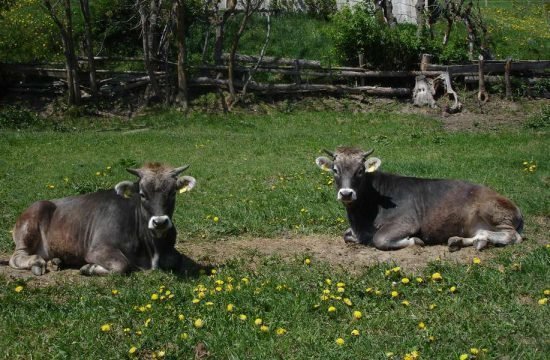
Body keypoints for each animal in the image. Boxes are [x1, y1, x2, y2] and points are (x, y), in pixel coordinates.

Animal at [9, 162, 197, 276]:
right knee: (17, 256)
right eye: (142, 194)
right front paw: (89, 268)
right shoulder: (97, 249)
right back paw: (36, 262)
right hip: (30, 223)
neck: (151, 248)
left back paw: (56, 261)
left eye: (172, 193)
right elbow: (121, 265)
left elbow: (176, 259)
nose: (159, 222)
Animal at [316, 148, 524, 252]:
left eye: (360, 170)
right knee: (482, 233)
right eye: (335, 169)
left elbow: (379, 239)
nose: (346, 193)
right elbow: (346, 235)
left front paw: (415, 241)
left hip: (494, 212)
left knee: (513, 236)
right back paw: (460, 241)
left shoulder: (406, 222)